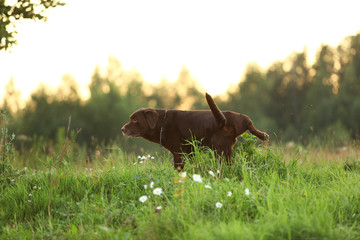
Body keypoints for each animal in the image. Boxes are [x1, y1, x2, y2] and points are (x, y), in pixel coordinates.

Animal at [122, 93, 268, 171]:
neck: (162, 123)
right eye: (131, 118)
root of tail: (225, 121)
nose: (122, 129)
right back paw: (264, 135)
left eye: (134, 119)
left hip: (219, 150)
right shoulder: (190, 153)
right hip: (230, 142)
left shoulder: (178, 153)